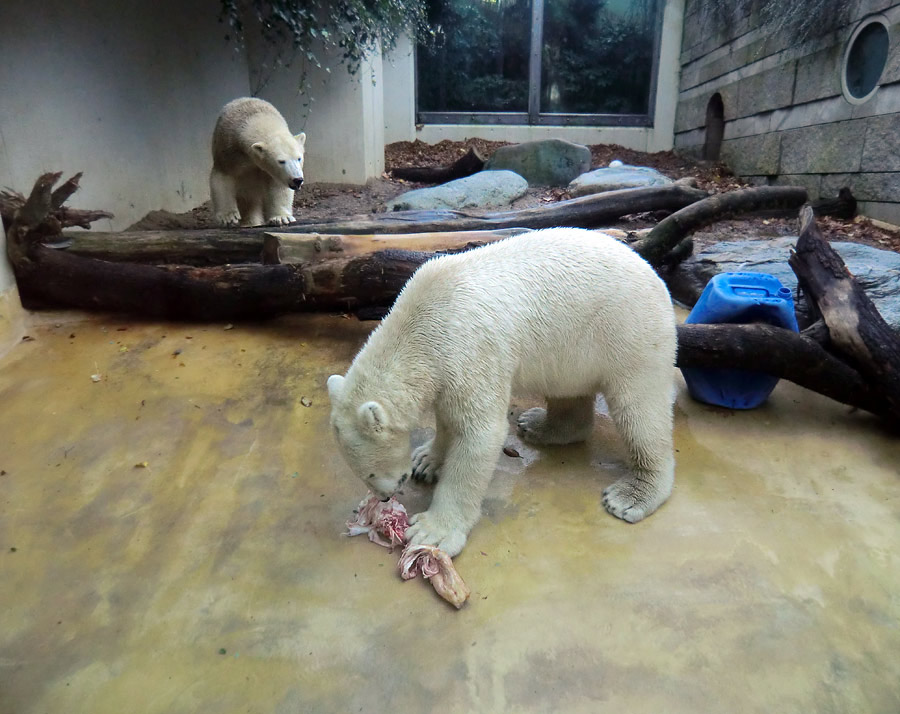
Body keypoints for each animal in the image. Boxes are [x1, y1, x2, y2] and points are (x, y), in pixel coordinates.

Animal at [210, 96, 306, 225]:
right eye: (281, 161)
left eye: (299, 158)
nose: (297, 180)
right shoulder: (227, 150)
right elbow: (222, 177)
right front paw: (229, 216)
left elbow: (278, 186)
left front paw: (281, 217)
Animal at [326, 228, 680, 556]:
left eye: (370, 472)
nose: (385, 496)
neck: (422, 322)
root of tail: (656, 278)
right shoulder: (447, 366)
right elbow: (448, 417)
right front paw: (425, 461)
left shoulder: (468, 349)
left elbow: (479, 434)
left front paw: (432, 531)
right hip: (575, 347)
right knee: (569, 389)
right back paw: (539, 425)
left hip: (628, 332)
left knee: (639, 409)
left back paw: (632, 494)